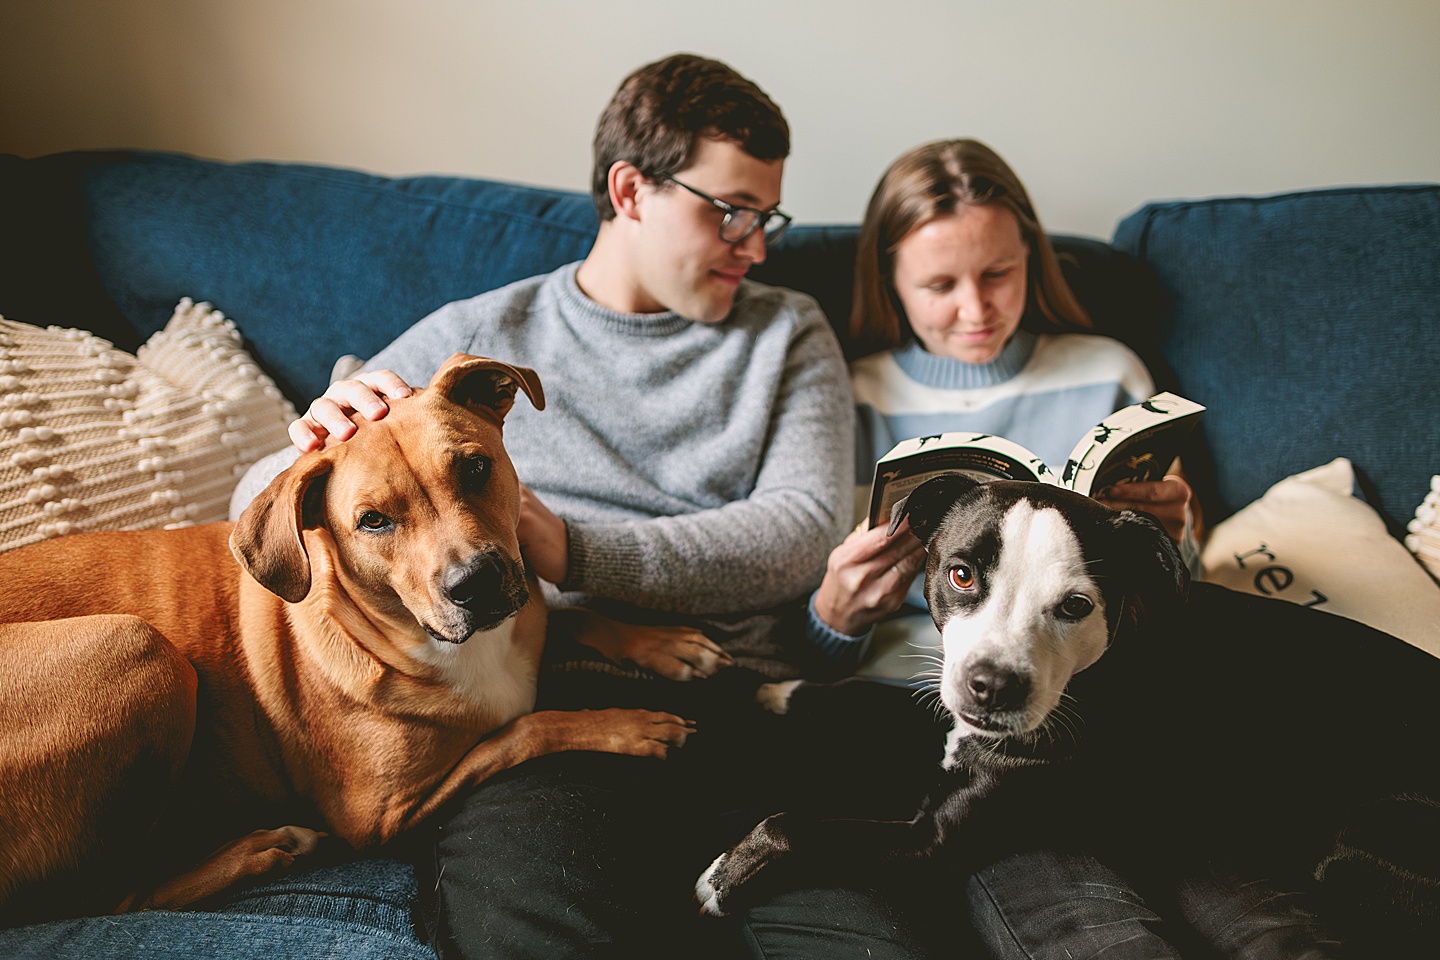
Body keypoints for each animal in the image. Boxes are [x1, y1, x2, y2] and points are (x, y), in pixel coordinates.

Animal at [0, 355, 720, 921]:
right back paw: (259, 850)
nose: (476, 584)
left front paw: (666, 644)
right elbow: (524, 729)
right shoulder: (380, 816)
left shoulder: (525, 612)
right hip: (136, 648)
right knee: (110, 896)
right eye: (372, 521)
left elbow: (572, 617)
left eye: (476, 468)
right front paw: (628, 724)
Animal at [696, 477, 1440, 949]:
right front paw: (778, 690)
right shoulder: (947, 715)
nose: (992, 687)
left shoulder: (931, 842)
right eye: (961, 574)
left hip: (1356, 850)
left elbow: (793, 825)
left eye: (1077, 606)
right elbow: (868, 692)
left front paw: (725, 875)